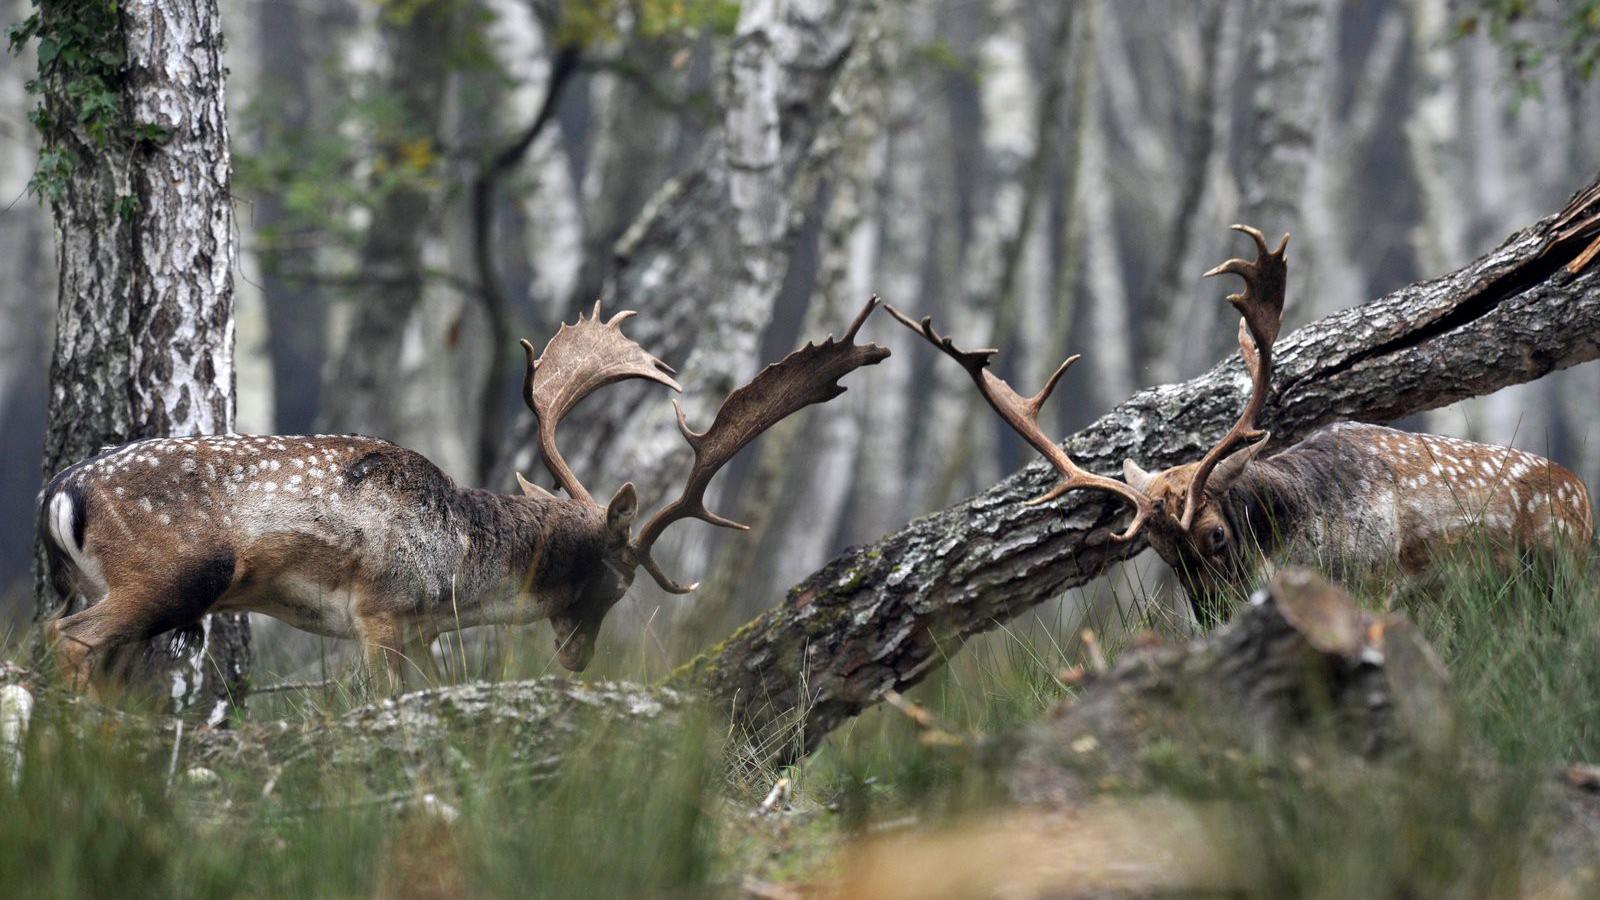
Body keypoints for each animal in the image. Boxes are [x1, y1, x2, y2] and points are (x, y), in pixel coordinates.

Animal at [40, 294, 889, 695]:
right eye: (616, 583)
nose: (579, 657)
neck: (458, 570)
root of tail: (60, 491)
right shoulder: (381, 610)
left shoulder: (420, 630)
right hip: (172, 571)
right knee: (70, 638)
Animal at [896, 224, 1593, 624]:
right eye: (1159, 552)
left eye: (1216, 535)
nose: (1214, 619)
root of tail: (1583, 493)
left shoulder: (1388, 584)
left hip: (1560, 568)